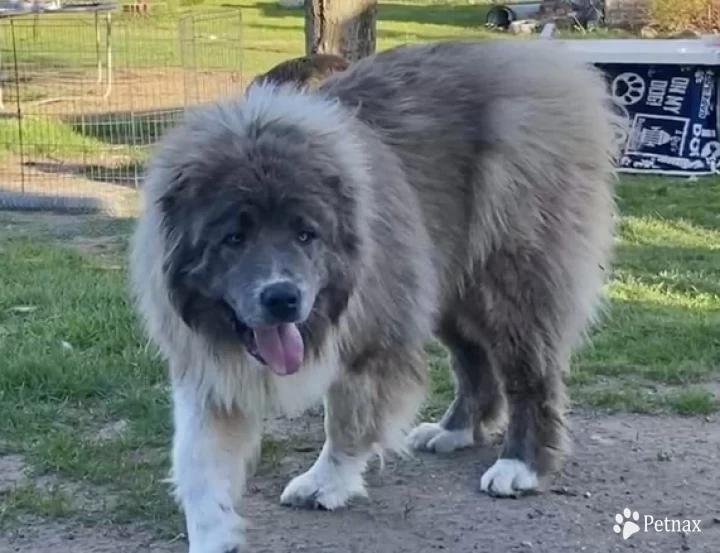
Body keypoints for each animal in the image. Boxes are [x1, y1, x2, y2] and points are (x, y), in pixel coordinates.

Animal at [128, 40, 620, 552]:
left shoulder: (373, 339)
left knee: (529, 375)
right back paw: (455, 431)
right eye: (234, 239)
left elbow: (347, 421)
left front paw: (326, 483)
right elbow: (197, 463)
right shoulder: (207, 365)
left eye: (306, 234)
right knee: (473, 363)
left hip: (508, 283)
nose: (282, 297)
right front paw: (213, 535)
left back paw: (519, 466)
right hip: (441, 284)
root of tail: (541, 58)